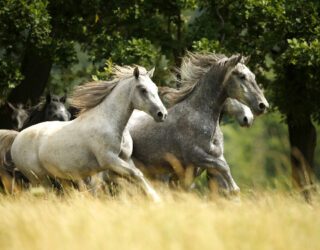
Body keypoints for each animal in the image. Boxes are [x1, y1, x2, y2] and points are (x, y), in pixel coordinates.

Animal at [128, 52, 268, 193]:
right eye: (242, 76)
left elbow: (221, 170)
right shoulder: (195, 155)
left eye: (253, 76)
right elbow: (223, 166)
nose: (263, 105)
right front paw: (234, 189)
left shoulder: (212, 157)